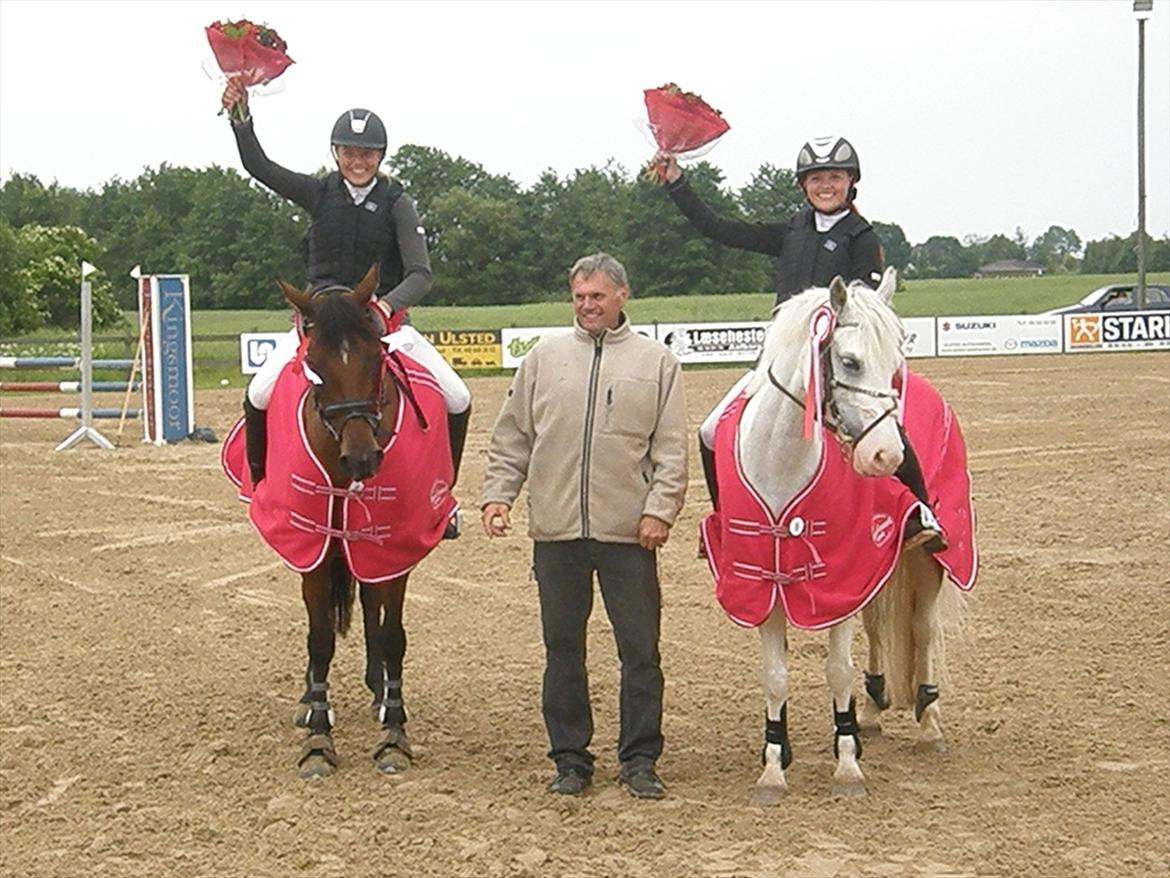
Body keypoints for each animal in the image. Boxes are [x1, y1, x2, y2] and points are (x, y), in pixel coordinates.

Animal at [224, 264, 456, 782]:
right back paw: (312, 698)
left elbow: (391, 635)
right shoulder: (313, 549)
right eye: (315, 365)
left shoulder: (394, 548)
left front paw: (394, 733)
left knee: (371, 607)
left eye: (377, 359)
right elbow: (320, 640)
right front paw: (317, 737)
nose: (363, 459)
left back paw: (378, 690)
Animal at [702, 270, 968, 805]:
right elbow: (776, 676)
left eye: (895, 364)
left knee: (923, 630)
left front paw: (847, 767)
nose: (887, 455)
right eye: (849, 361)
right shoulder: (767, 586)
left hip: (927, 562)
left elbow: (837, 670)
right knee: (878, 630)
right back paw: (871, 710)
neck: (784, 464)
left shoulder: (841, 580)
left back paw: (928, 723)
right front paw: (774, 766)